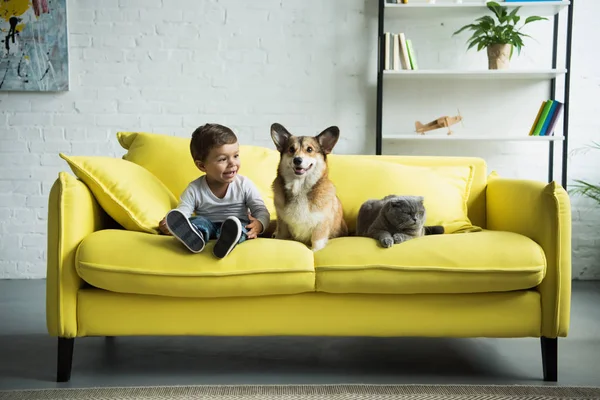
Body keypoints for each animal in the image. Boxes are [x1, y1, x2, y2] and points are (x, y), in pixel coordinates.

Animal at [270, 123, 350, 252]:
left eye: (309, 149)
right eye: (291, 149)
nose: (297, 160)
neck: (300, 187)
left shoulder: (320, 224)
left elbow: (316, 243)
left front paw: (314, 251)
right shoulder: (282, 223)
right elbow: (281, 237)